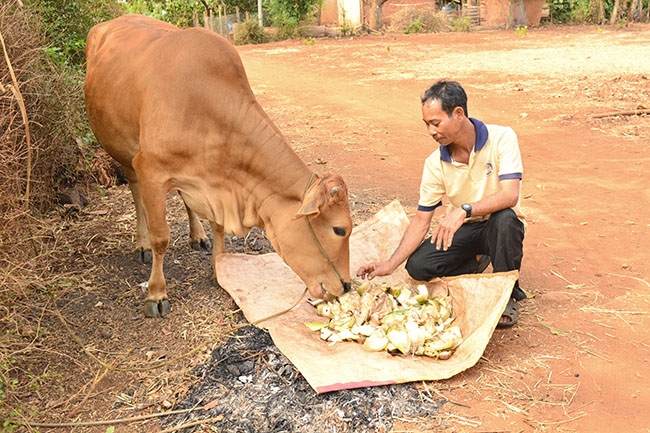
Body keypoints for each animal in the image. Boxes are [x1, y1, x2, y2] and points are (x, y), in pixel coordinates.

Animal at [85, 15, 352, 318]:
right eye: (340, 229)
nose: (346, 285)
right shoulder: (151, 170)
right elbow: (160, 237)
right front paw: (156, 292)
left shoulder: (215, 181)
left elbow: (218, 225)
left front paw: (217, 268)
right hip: (123, 150)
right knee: (134, 190)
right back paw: (141, 242)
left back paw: (197, 235)